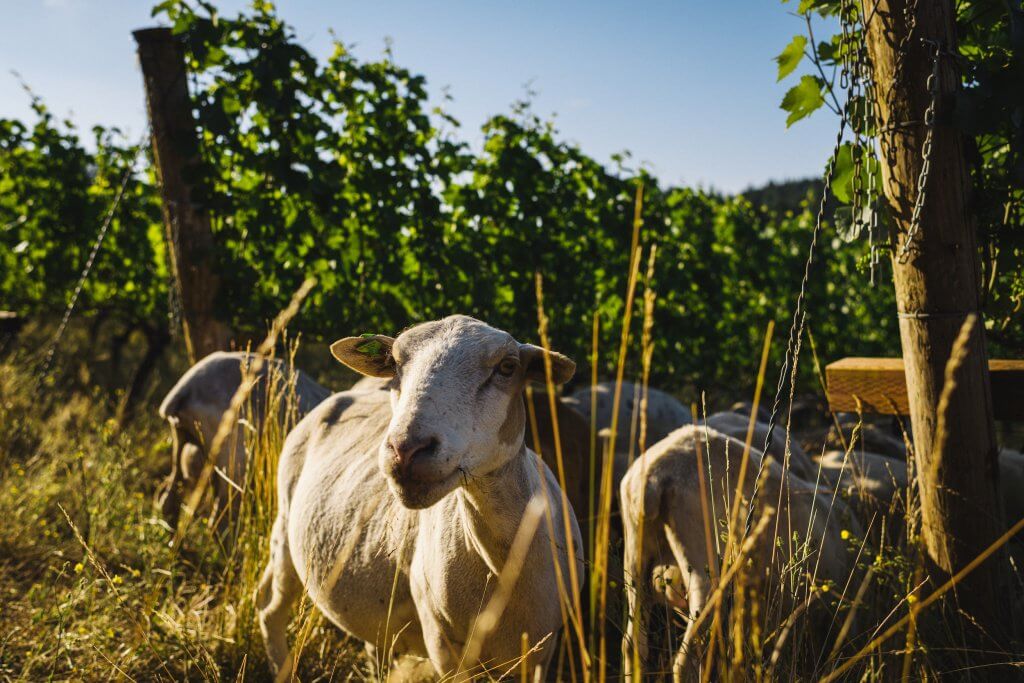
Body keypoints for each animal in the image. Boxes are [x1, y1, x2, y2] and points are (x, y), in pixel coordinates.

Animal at [256, 317, 585, 679]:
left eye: (507, 367)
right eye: (395, 364)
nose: (406, 450)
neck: (502, 567)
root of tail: (340, 396)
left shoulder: (543, 649)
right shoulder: (442, 644)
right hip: (285, 534)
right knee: (270, 610)